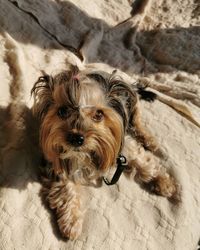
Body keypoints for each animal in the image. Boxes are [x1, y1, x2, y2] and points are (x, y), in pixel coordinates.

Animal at [30, 65, 178, 240]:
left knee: (137, 120)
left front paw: (165, 183)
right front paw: (71, 223)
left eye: (98, 114)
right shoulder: (57, 158)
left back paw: (149, 140)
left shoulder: (124, 146)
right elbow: (66, 187)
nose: (76, 138)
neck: (86, 154)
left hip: (132, 104)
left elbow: (144, 162)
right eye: (62, 111)